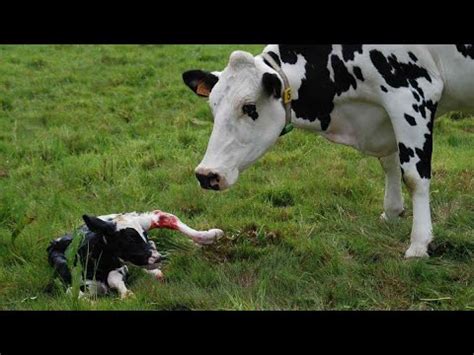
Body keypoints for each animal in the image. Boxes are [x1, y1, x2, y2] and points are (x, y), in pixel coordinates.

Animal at [47, 210, 223, 298]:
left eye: (144, 235)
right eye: (129, 239)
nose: (158, 258)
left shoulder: (118, 267)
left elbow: (114, 278)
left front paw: (126, 294)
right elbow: (75, 292)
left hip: (138, 219)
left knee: (162, 216)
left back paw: (210, 235)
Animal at [182, 46, 474, 260]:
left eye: (249, 107)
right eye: (213, 106)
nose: (206, 174)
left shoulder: (410, 94)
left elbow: (414, 177)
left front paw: (419, 244)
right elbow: (389, 163)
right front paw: (391, 212)